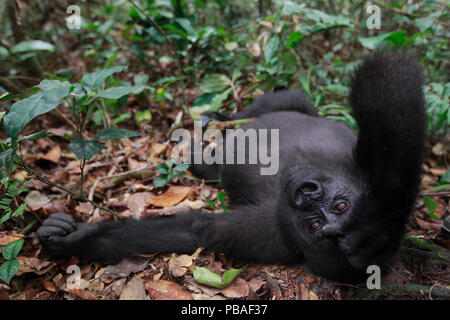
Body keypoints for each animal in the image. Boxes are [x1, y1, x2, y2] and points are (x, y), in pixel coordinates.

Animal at [37, 48, 426, 282]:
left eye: (315, 225)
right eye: (339, 206)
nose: (305, 195)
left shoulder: (269, 234)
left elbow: (194, 231)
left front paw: (73, 243)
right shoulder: (375, 170)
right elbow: (393, 107)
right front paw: (70, 239)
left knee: (215, 166)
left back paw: (196, 151)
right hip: (287, 108)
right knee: (284, 101)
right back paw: (219, 117)